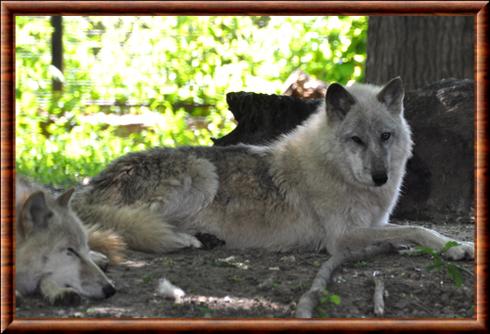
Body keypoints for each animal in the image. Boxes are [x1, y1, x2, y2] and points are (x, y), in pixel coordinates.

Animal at [70, 77, 474, 260]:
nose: (380, 177)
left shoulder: (374, 223)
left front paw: (453, 245)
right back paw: (185, 239)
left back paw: (204, 238)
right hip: (202, 173)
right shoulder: (341, 237)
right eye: (356, 140)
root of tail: (87, 189)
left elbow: (408, 232)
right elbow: (416, 228)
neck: (333, 170)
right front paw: (453, 246)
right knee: (133, 229)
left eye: (386, 136)